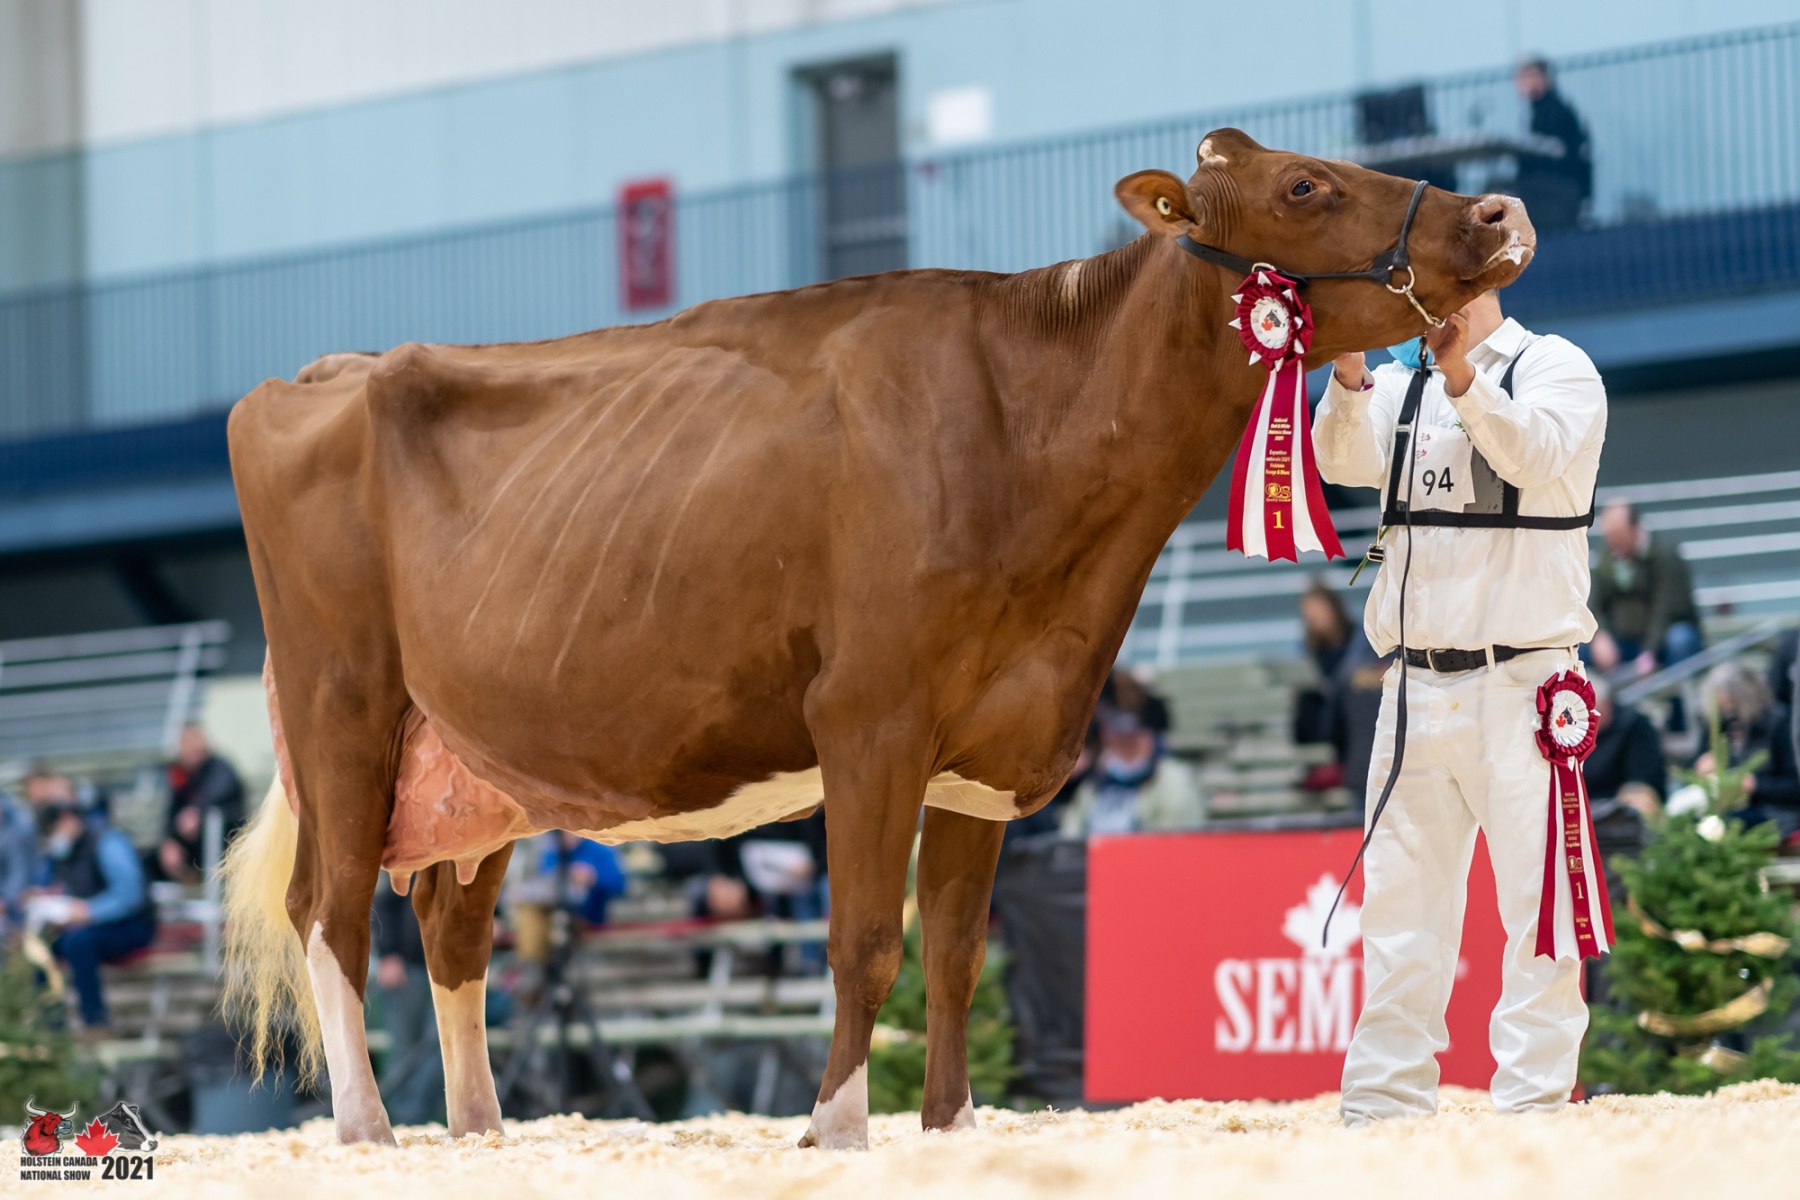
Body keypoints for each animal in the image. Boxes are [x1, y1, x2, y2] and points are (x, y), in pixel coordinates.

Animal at [220, 128, 1535, 1149]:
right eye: (1305, 184)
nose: (1499, 211)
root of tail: (311, 375)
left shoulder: (988, 748)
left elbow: (955, 952)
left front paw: (949, 1125)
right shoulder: (871, 719)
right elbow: (863, 942)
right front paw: (838, 1126)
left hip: (474, 760)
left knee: (450, 931)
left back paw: (481, 1131)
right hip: (344, 702)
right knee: (331, 910)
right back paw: (369, 1128)